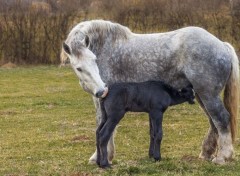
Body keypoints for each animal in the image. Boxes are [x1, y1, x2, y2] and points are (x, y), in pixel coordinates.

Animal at [61, 19, 238, 165]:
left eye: (94, 60)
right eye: (79, 67)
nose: (101, 90)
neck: (106, 47)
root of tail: (222, 45)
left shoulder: (105, 101)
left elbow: (105, 127)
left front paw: (100, 157)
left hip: (208, 95)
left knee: (221, 118)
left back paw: (223, 157)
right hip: (202, 95)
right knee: (213, 122)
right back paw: (207, 153)